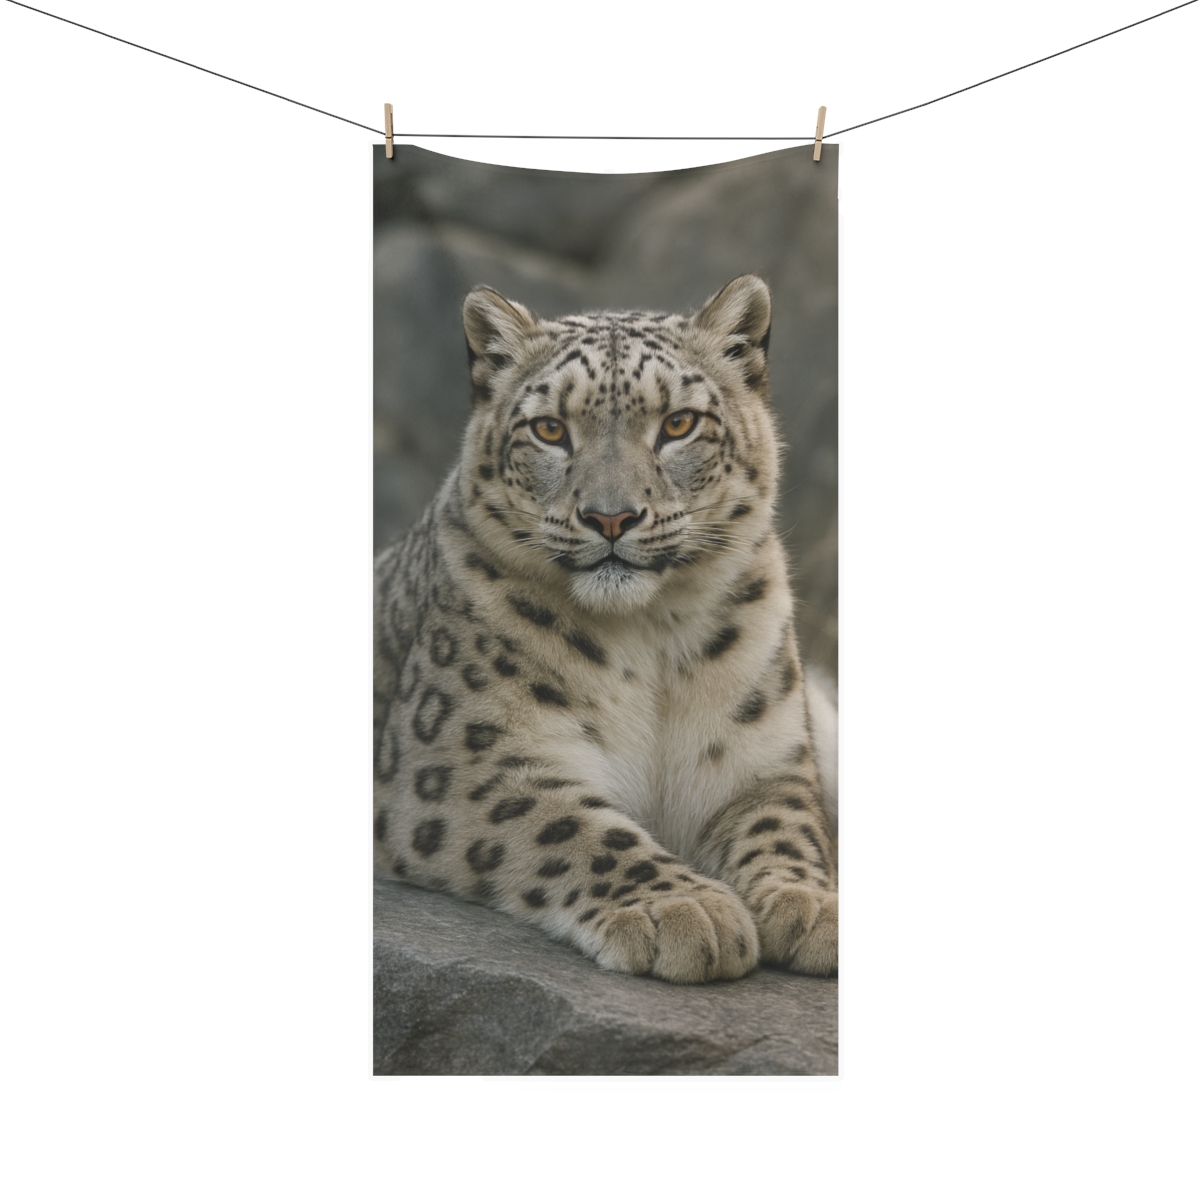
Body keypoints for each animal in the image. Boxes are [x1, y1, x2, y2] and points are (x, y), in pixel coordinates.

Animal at [374, 274, 837, 984]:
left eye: (678, 423)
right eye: (549, 429)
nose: (611, 517)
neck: (651, 640)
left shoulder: (761, 758)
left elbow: (787, 826)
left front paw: (811, 906)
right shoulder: (465, 764)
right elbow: (574, 827)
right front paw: (684, 912)